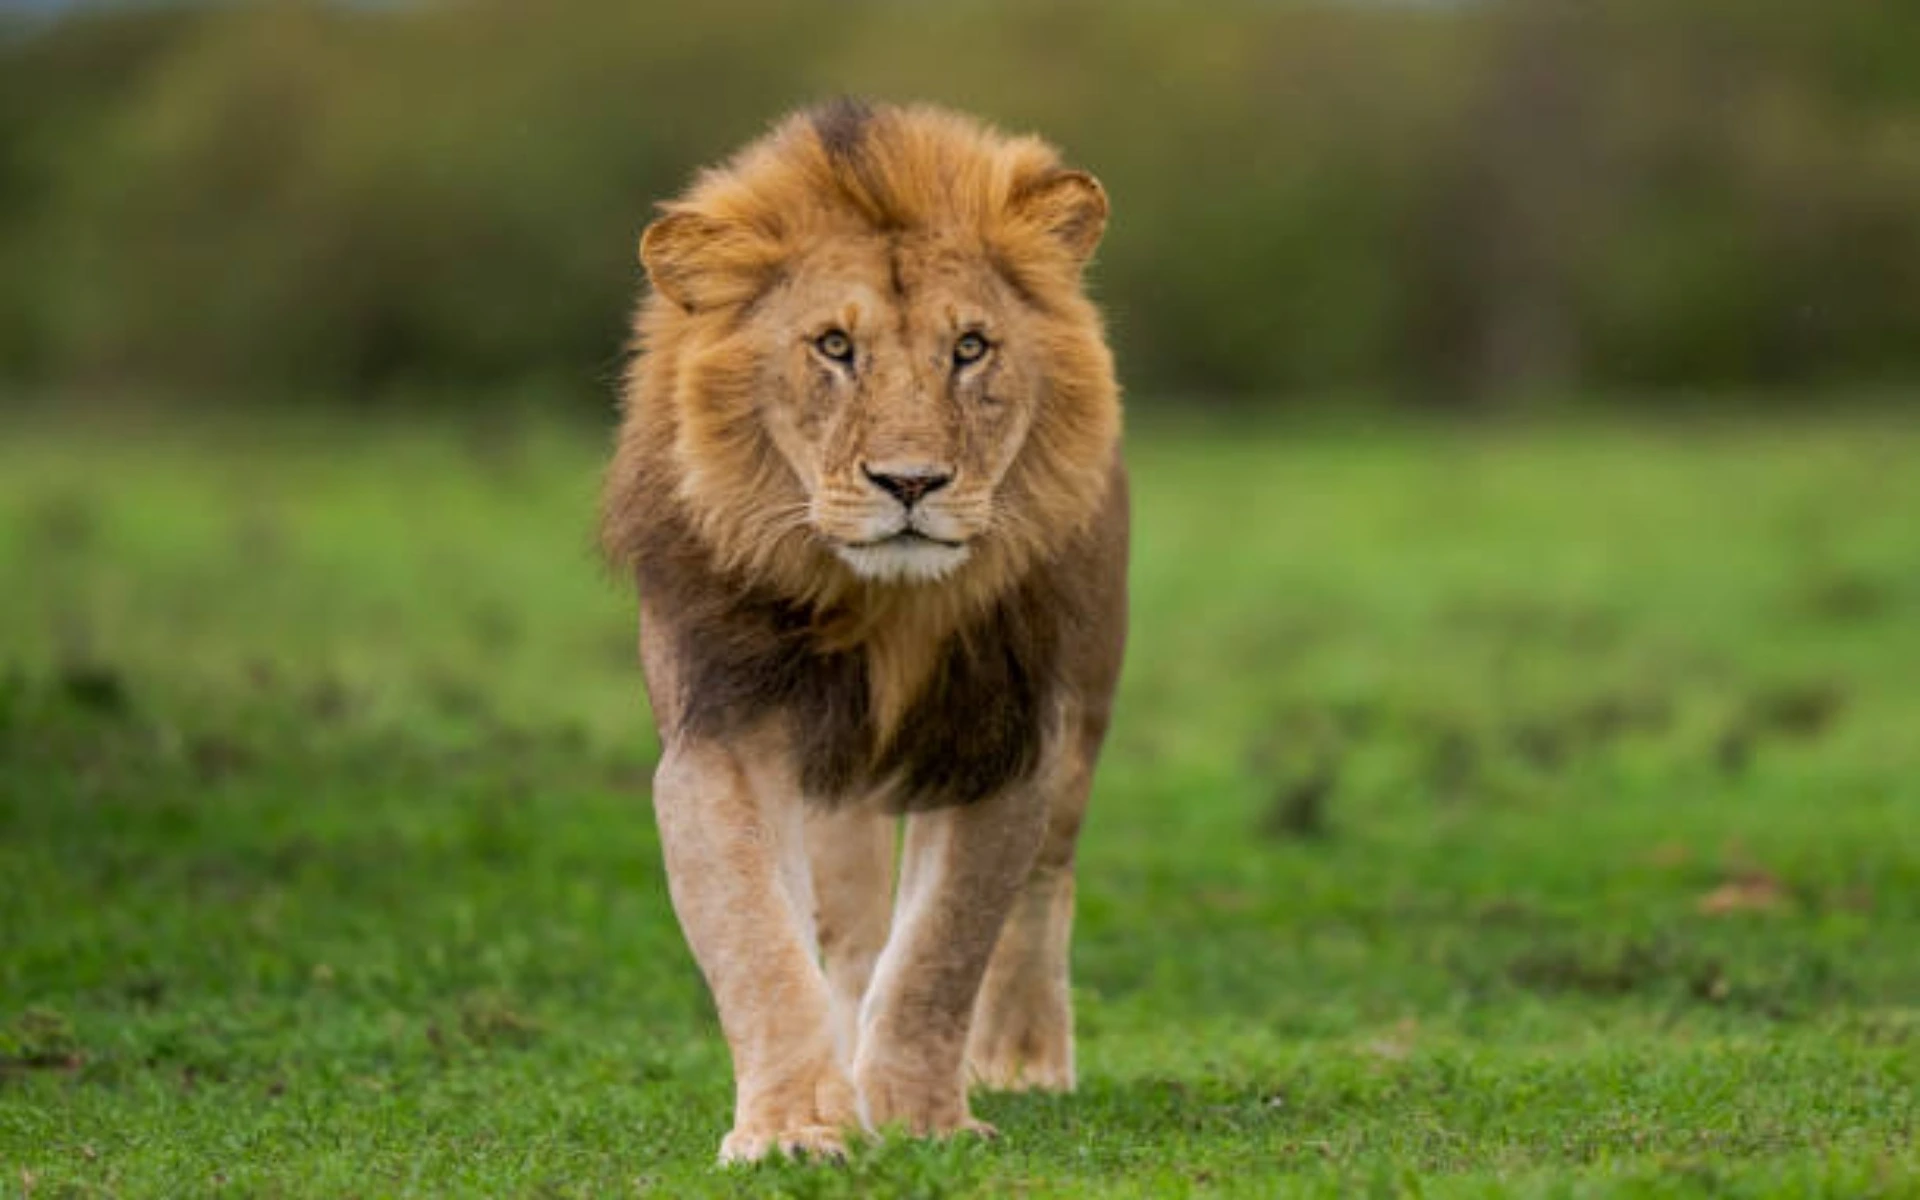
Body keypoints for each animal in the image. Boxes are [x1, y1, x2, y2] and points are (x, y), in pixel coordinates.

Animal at [600, 99, 1126, 1163]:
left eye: (970, 347)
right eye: (834, 347)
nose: (911, 483)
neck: (888, 607)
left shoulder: (1005, 739)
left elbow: (943, 952)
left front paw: (925, 1120)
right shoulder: (723, 736)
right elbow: (760, 945)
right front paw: (796, 1129)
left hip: (1086, 705)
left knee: (1044, 885)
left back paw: (1022, 1060)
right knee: (844, 932)